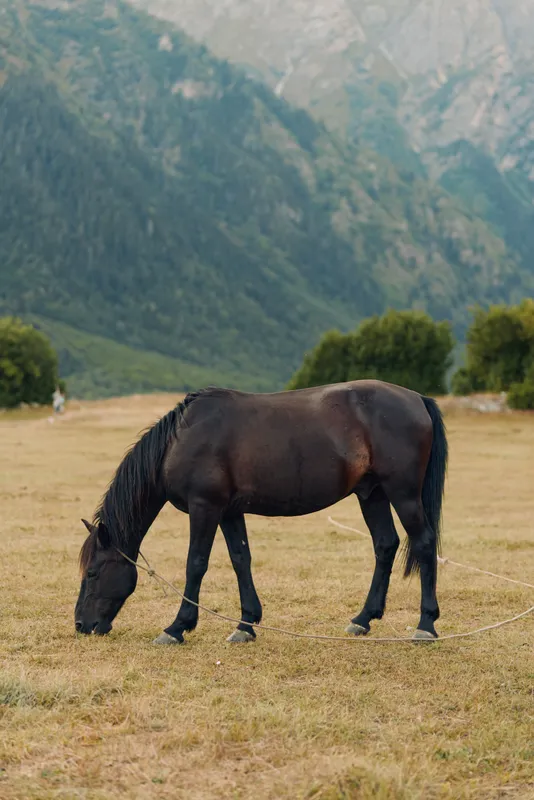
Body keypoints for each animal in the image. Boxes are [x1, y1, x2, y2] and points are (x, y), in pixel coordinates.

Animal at [75, 381, 448, 644]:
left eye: (92, 572)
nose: (81, 624)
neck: (181, 440)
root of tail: (417, 399)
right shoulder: (228, 512)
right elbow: (241, 560)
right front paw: (246, 624)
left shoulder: (204, 507)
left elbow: (196, 564)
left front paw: (177, 627)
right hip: (371, 493)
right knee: (385, 545)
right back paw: (363, 619)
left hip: (403, 494)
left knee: (424, 543)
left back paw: (425, 625)